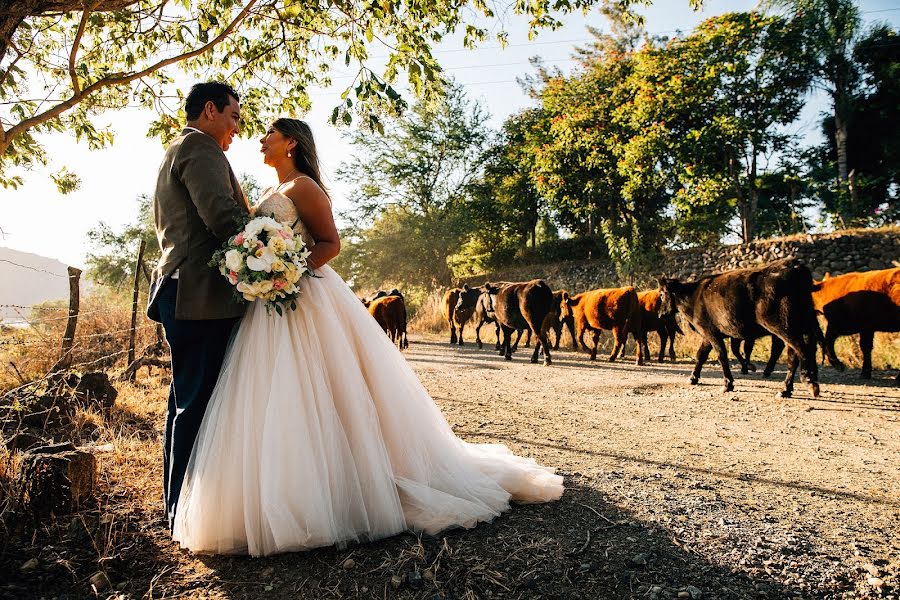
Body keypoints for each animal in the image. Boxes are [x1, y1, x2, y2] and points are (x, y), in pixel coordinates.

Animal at [656, 258, 820, 396]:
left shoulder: (710, 333)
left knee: (800, 349)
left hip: (783, 326)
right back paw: (787, 388)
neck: (693, 296)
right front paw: (693, 378)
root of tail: (794, 265)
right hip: (801, 324)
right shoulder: (708, 335)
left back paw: (808, 381)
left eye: (662, 294)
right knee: (795, 353)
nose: (660, 314)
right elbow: (701, 355)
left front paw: (728, 384)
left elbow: (721, 355)